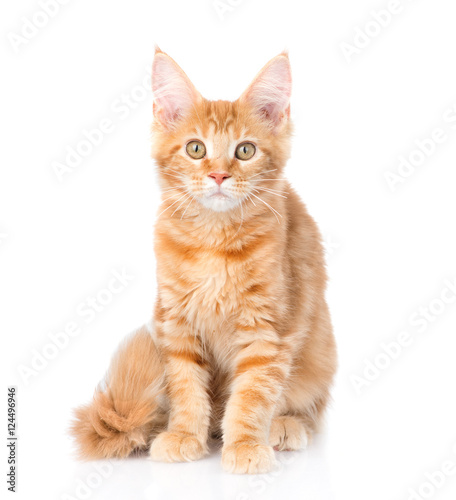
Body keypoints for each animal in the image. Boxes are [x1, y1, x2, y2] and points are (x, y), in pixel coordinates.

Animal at [70, 48, 334, 474]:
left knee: (309, 406)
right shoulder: (176, 322)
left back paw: (284, 425)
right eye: (196, 148)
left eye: (245, 150)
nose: (219, 175)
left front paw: (245, 444)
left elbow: (252, 394)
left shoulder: (267, 331)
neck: (215, 243)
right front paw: (183, 436)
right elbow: (186, 388)